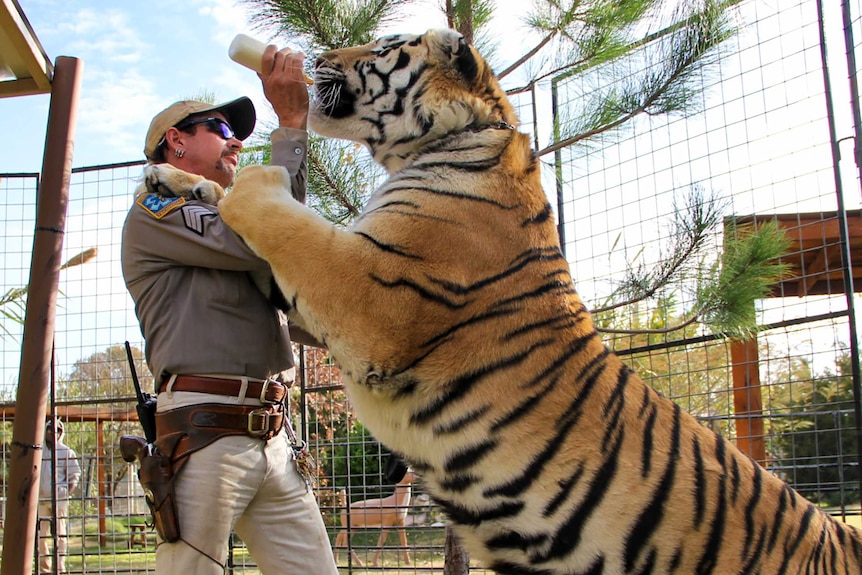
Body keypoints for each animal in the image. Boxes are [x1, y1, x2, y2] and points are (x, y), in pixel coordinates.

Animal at [150, 28, 862, 575]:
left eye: (381, 46)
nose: (316, 55)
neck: (448, 139)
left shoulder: (370, 293)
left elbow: (278, 214)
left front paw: (248, 176)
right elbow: (234, 209)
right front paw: (171, 176)